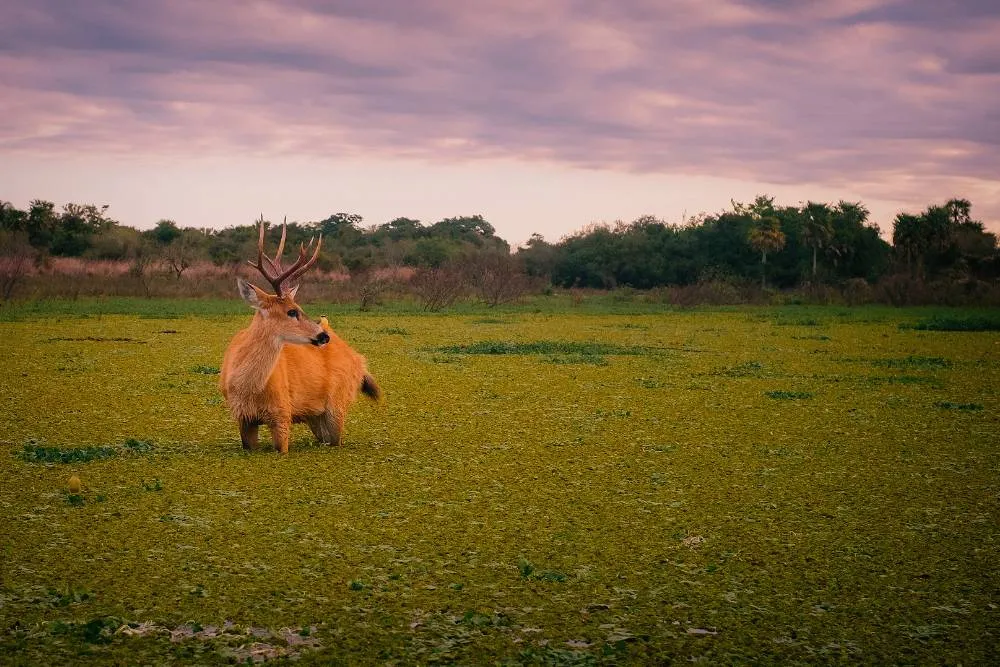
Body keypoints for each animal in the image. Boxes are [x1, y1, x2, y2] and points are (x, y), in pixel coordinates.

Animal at [219, 220, 380, 453]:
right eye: (292, 311)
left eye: (299, 307)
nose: (323, 336)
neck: (248, 389)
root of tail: (359, 360)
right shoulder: (243, 418)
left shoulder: (282, 414)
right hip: (315, 416)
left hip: (338, 404)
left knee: (337, 440)